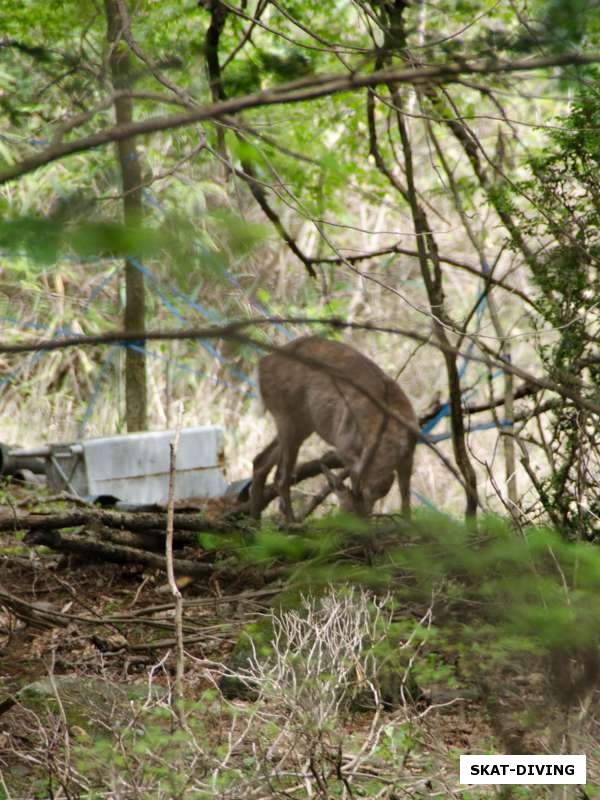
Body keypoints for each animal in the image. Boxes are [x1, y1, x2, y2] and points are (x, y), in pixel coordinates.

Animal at [248, 338, 418, 524]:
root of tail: (261, 364)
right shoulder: (344, 444)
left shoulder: (408, 457)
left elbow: (406, 499)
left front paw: (410, 525)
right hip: (285, 414)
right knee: (280, 476)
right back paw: (291, 523)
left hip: (301, 424)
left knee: (261, 461)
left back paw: (256, 524)